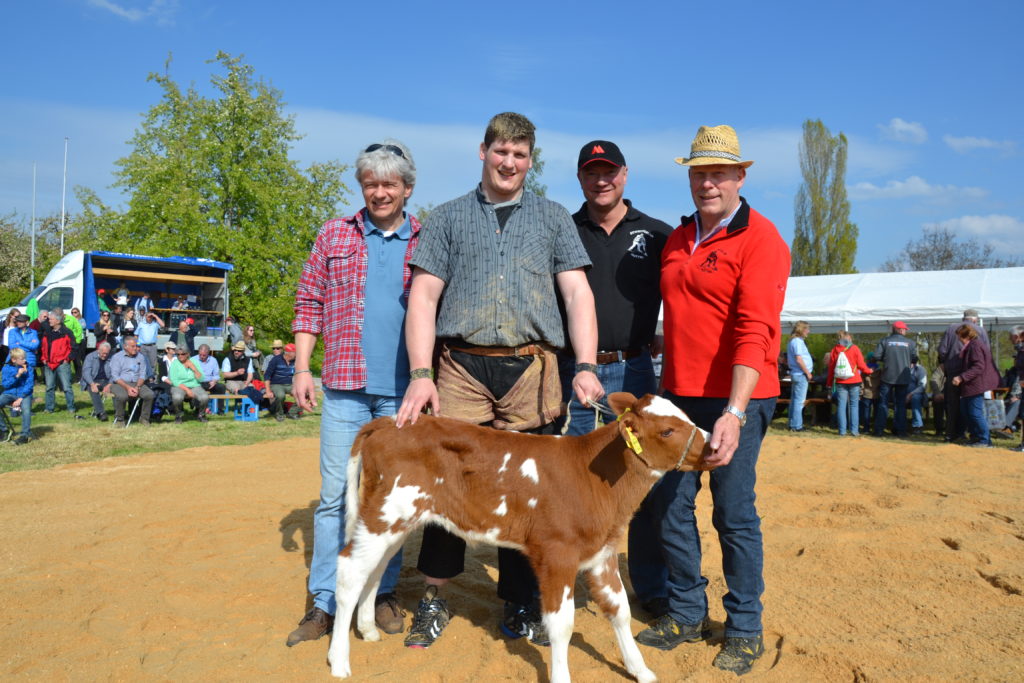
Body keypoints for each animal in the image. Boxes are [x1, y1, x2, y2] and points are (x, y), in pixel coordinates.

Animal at [327, 393, 712, 679]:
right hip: (386, 515)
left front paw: (640, 670)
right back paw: (339, 661)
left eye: (686, 417)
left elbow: (620, 611)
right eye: (667, 431)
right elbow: (562, 625)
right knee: (349, 571)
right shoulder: (556, 554)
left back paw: (368, 630)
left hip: (395, 520)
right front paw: (561, 677)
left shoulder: (602, 553)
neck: (594, 476)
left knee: (374, 570)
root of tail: (390, 422)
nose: (713, 445)